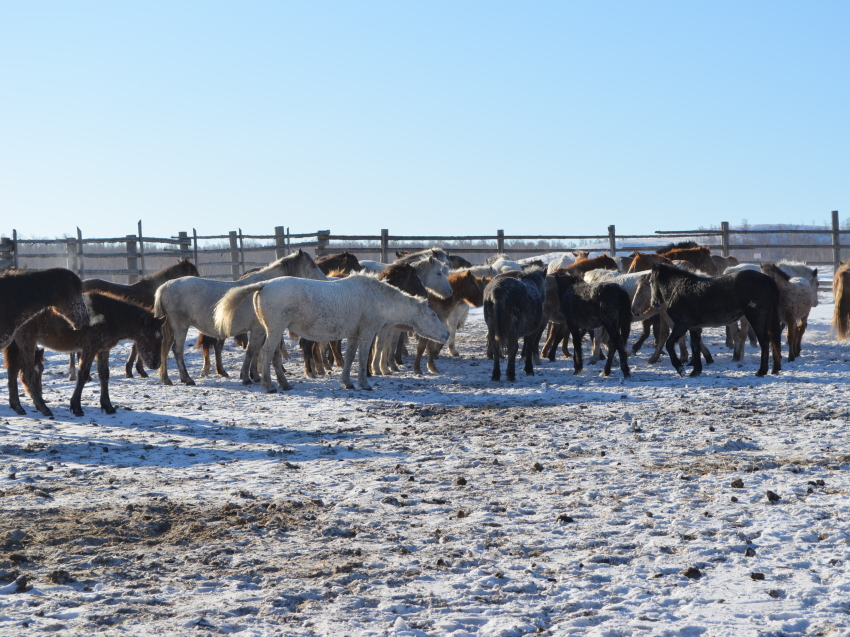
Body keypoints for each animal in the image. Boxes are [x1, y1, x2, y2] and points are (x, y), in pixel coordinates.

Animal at [6, 292, 166, 418]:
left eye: (161, 338)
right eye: (149, 337)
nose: (156, 364)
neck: (109, 315)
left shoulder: (103, 350)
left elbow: (104, 374)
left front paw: (107, 406)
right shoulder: (90, 347)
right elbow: (83, 374)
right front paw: (76, 407)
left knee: (13, 371)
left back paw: (18, 406)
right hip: (27, 341)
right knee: (27, 372)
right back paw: (43, 407)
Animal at [152, 251, 324, 386]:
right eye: (313, 266)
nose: (325, 280)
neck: (264, 288)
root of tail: (165, 286)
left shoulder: (262, 331)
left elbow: (256, 352)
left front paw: (254, 375)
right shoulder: (258, 330)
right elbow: (251, 351)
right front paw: (247, 377)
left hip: (171, 328)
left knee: (164, 349)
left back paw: (166, 379)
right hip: (180, 326)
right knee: (177, 350)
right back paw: (187, 378)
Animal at [212, 270, 448, 390]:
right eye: (433, 315)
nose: (446, 334)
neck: (375, 297)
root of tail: (264, 285)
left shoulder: (353, 335)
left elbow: (350, 357)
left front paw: (347, 382)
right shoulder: (367, 333)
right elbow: (363, 357)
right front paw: (364, 383)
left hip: (273, 331)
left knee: (274, 355)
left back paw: (284, 383)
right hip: (276, 329)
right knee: (267, 353)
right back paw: (269, 385)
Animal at [644, 264, 780, 378]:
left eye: (650, 281)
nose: (654, 303)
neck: (678, 288)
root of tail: (767, 279)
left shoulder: (681, 325)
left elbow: (669, 344)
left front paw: (680, 369)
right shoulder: (694, 327)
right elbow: (695, 347)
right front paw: (696, 371)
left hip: (756, 317)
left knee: (764, 342)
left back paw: (761, 371)